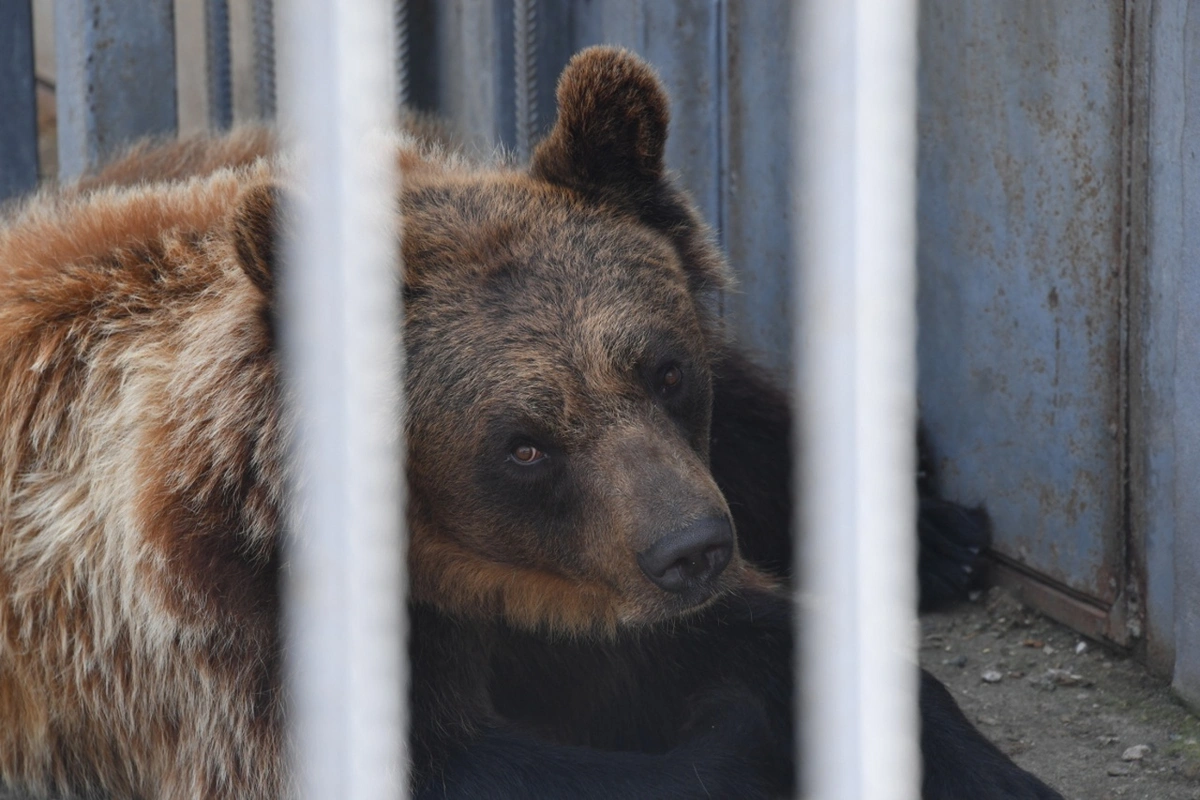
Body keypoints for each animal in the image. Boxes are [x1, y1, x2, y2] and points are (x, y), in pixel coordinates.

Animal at [0, 47, 1060, 796]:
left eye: (666, 371)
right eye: (523, 444)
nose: (693, 549)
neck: (452, 568)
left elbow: (766, 639)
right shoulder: (219, 649)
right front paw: (734, 734)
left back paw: (937, 534)